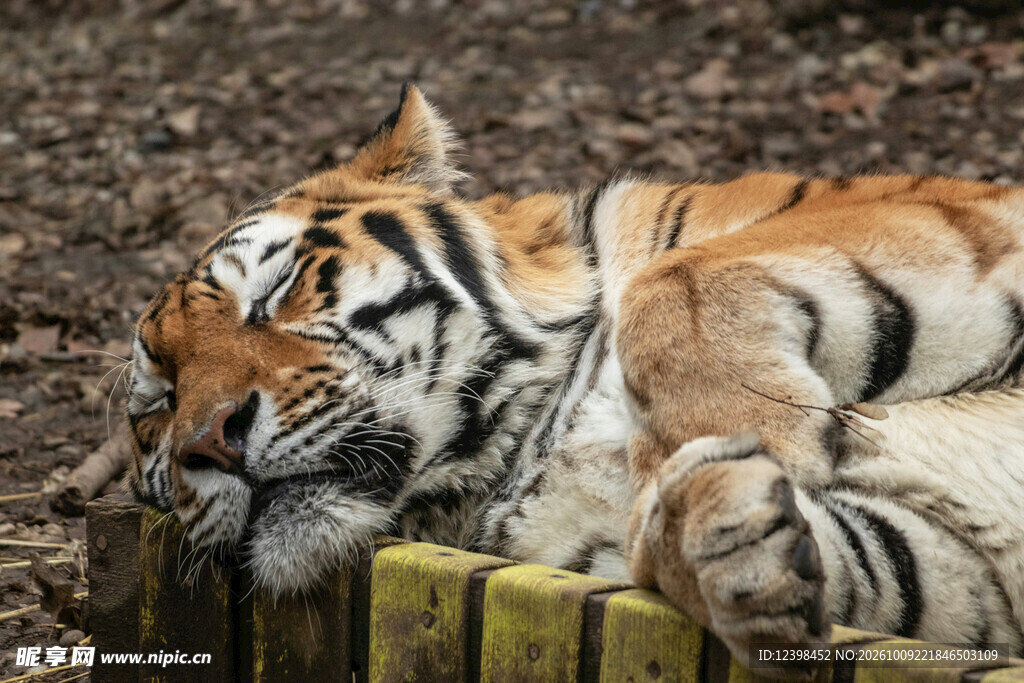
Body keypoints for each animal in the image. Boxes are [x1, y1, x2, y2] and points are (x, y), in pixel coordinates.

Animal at [125, 83, 1024, 674]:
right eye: (159, 404)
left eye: (279, 294)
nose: (208, 441)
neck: (526, 446)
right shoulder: (965, 564)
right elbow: (876, 560)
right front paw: (727, 535)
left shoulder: (949, 218)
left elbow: (679, 277)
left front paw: (777, 445)